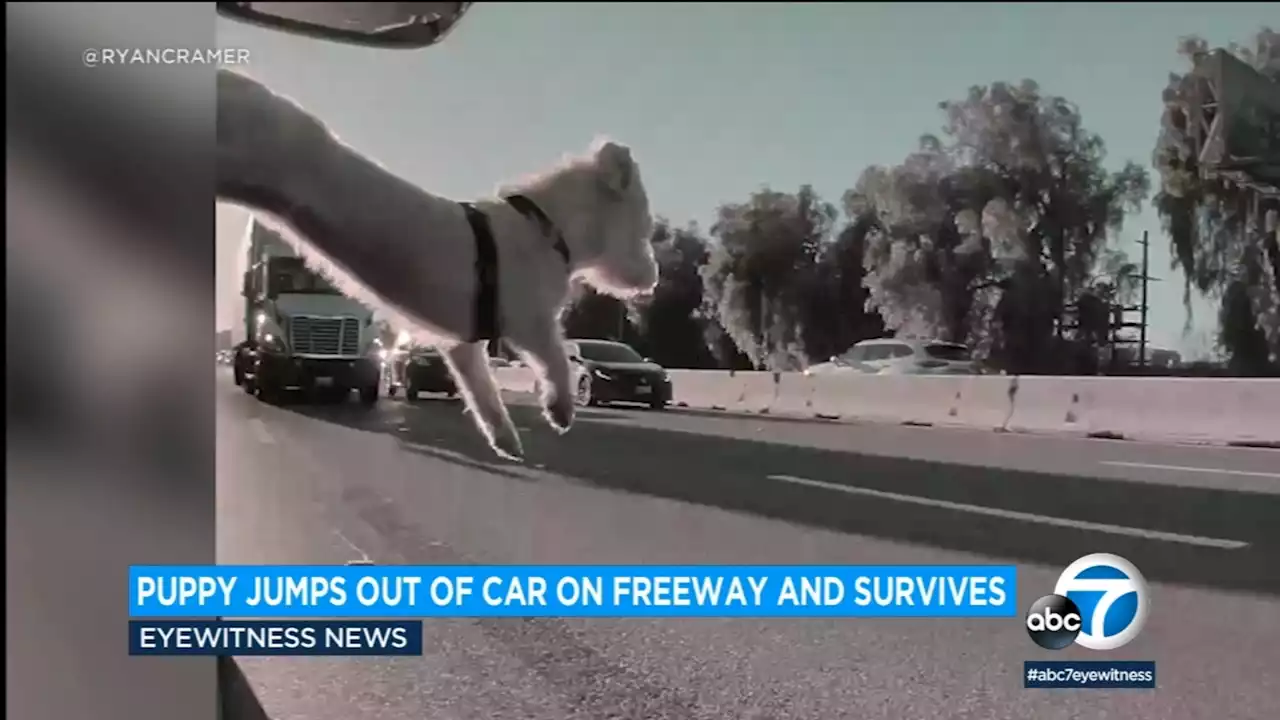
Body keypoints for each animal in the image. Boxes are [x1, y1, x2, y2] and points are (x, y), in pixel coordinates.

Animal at [215, 68, 655, 458]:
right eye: (647, 228)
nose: (653, 281)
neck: (546, 226)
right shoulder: (529, 319)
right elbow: (558, 358)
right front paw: (560, 411)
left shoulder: (461, 342)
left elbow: (482, 391)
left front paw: (506, 441)